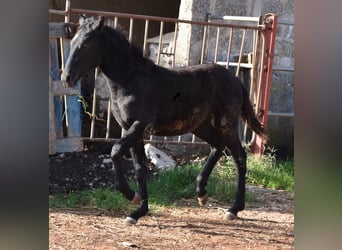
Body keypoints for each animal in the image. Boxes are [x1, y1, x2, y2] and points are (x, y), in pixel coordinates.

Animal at [62, 15, 268, 225]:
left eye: (86, 44)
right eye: (72, 41)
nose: (66, 77)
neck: (131, 81)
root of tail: (236, 81)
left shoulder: (140, 125)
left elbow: (115, 151)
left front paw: (132, 196)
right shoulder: (131, 129)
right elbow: (139, 168)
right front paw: (138, 211)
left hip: (226, 123)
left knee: (239, 156)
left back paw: (234, 209)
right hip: (199, 125)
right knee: (217, 146)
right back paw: (201, 194)